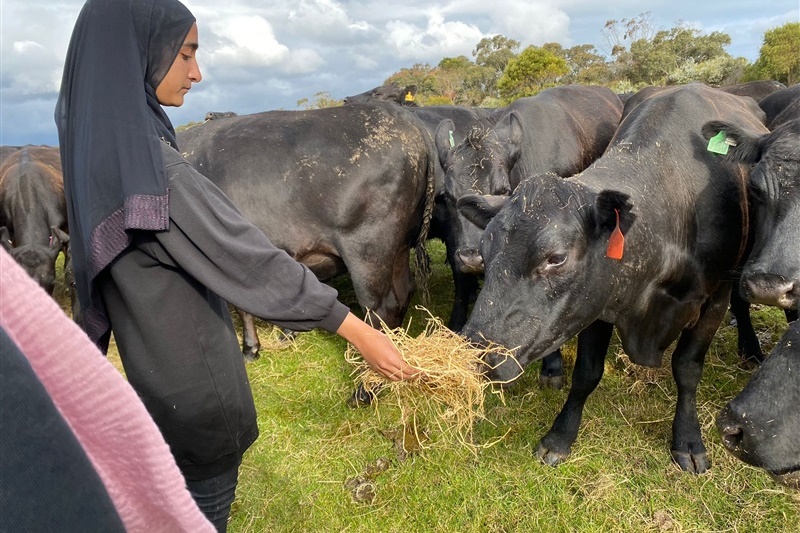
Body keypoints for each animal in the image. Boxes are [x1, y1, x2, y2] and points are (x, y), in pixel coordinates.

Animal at [178, 103, 434, 358]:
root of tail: (394, 111)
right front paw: (285, 335)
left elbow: (243, 308)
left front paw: (250, 348)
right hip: (400, 246)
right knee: (404, 292)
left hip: (366, 248)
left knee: (380, 310)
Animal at [462, 84, 768, 474]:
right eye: (485, 252)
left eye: (556, 258)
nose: (476, 353)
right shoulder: (597, 301)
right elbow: (586, 373)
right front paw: (559, 437)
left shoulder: (714, 298)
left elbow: (687, 369)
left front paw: (688, 439)